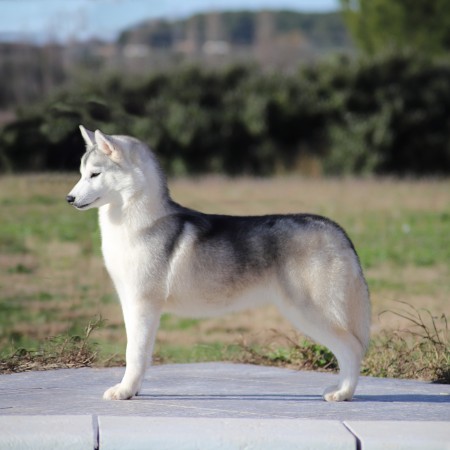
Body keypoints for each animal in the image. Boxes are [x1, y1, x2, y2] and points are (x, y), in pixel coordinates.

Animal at [67, 125, 370, 400]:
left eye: (95, 174)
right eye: (81, 173)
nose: (69, 198)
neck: (139, 222)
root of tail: (336, 229)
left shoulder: (142, 304)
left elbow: (135, 353)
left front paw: (125, 391)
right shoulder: (135, 304)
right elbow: (143, 353)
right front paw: (135, 389)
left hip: (309, 311)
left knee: (352, 348)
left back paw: (343, 393)